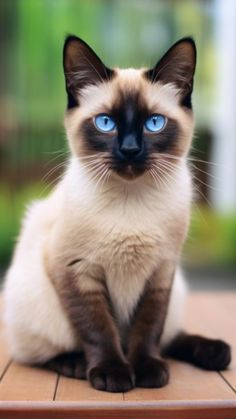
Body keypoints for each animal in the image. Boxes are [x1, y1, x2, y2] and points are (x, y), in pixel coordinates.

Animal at [3, 36, 231, 394]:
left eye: (154, 123)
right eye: (105, 123)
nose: (129, 150)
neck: (131, 202)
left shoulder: (161, 273)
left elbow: (148, 329)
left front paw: (147, 371)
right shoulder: (77, 272)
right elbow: (99, 330)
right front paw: (114, 374)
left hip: (178, 290)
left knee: (170, 337)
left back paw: (214, 352)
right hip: (38, 305)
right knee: (39, 353)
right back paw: (75, 364)